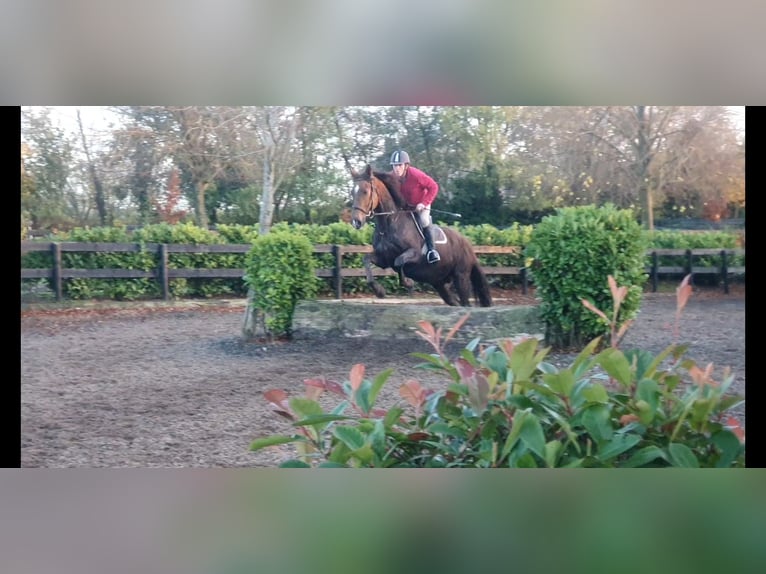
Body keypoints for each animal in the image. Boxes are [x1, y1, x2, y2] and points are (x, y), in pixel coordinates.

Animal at [352, 164, 496, 308]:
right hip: (440, 283)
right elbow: (366, 260)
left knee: (466, 303)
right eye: (353, 192)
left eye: (365, 191)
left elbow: (399, 262)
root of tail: (467, 244)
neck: (389, 224)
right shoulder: (384, 259)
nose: (356, 222)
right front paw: (379, 291)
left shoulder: (415, 254)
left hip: (461, 277)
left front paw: (408, 283)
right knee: (454, 302)